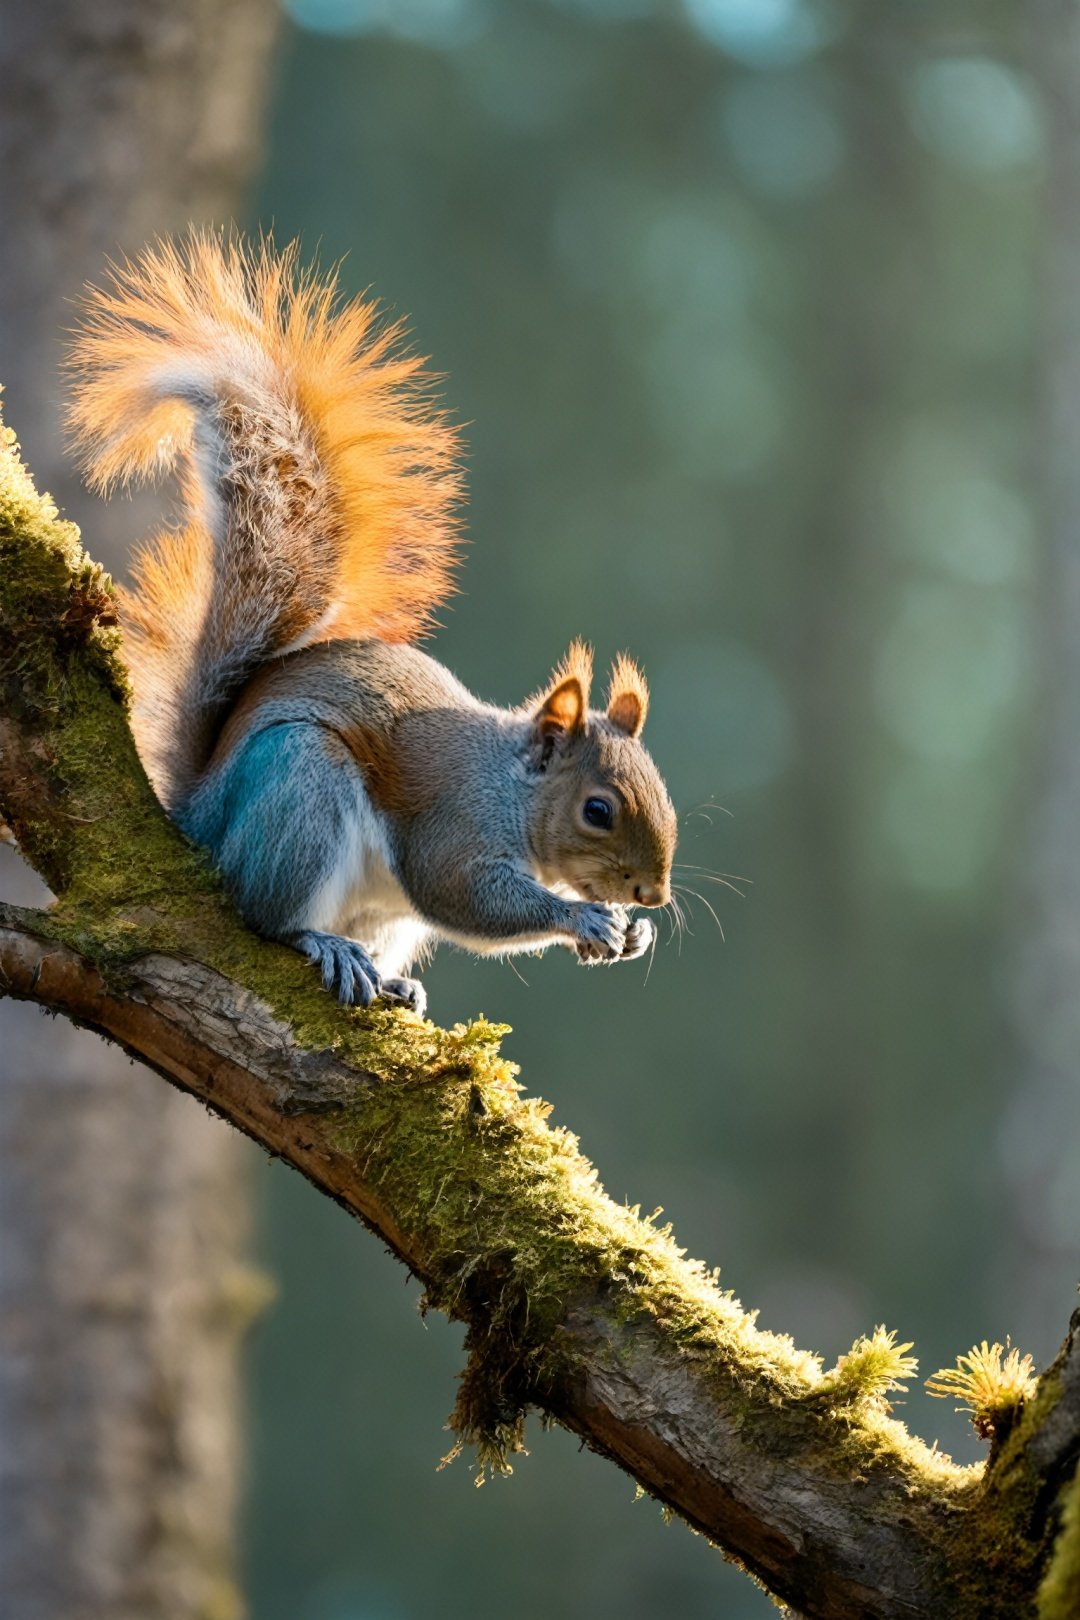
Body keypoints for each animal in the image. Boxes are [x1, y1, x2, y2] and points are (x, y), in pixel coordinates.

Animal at [63, 231, 676, 1010]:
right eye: (597, 810)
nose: (653, 895)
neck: (509, 785)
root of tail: (199, 817)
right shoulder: (454, 825)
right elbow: (465, 899)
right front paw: (584, 917)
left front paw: (635, 933)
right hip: (299, 788)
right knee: (267, 914)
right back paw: (322, 943)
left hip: (382, 912)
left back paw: (391, 982)